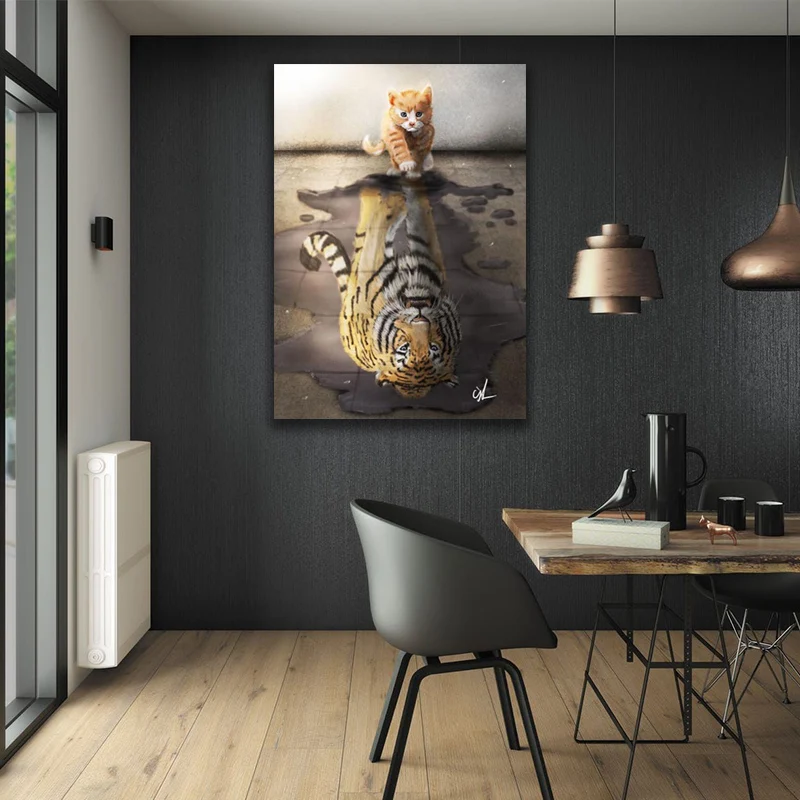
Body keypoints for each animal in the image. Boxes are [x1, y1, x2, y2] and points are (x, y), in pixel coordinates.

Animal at [299, 182, 460, 398]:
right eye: (404, 349)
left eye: (432, 348)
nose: (419, 318)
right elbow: (405, 229)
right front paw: (401, 197)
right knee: (363, 237)